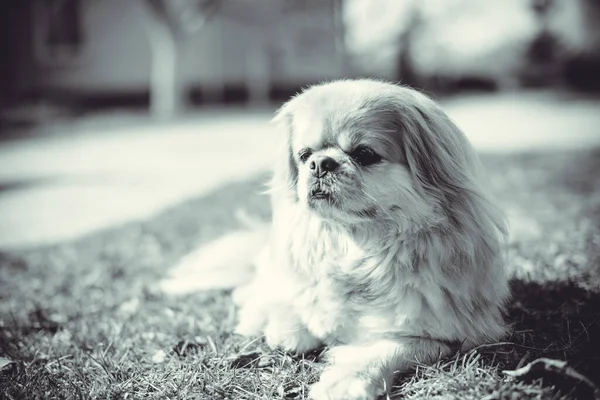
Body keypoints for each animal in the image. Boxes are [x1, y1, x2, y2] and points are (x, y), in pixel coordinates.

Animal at [232, 79, 508, 400]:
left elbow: (394, 348)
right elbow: (292, 302)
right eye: (303, 155)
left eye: (364, 154)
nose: (320, 163)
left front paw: (347, 379)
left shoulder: (450, 336)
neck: (357, 245)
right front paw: (286, 323)